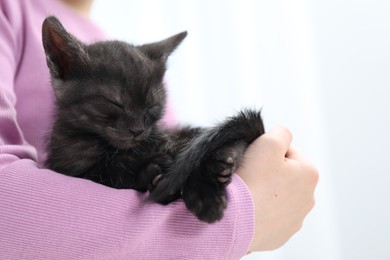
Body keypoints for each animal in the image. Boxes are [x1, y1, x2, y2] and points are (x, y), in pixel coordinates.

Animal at [43, 16, 266, 223]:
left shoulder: (176, 145)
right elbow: (110, 174)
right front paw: (151, 175)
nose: (137, 130)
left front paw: (203, 192)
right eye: (115, 103)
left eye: (152, 106)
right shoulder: (75, 170)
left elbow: (186, 161)